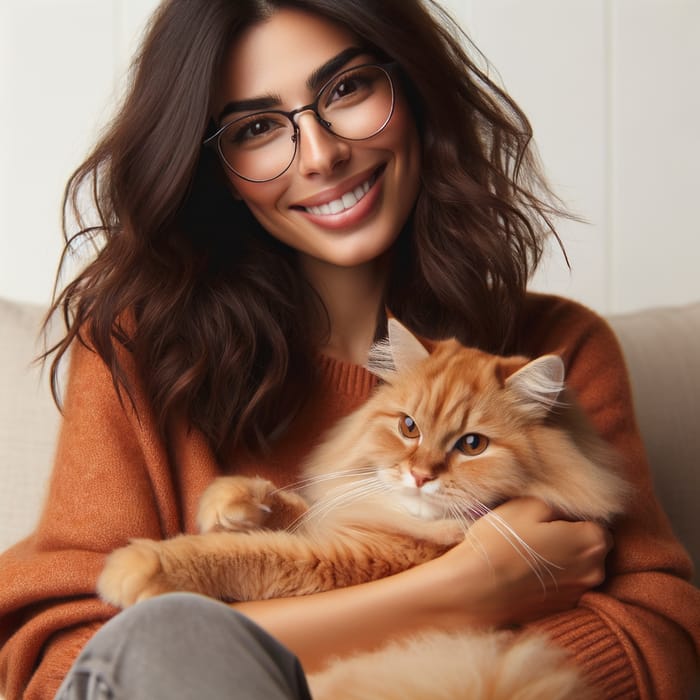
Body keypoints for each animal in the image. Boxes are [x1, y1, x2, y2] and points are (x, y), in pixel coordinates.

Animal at [95, 320, 628, 696]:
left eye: (472, 445)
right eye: (409, 427)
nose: (420, 475)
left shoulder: (350, 559)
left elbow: (249, 553)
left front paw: (142, 566)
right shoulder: (345, 519)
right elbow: (293, 510)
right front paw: (232, 502)